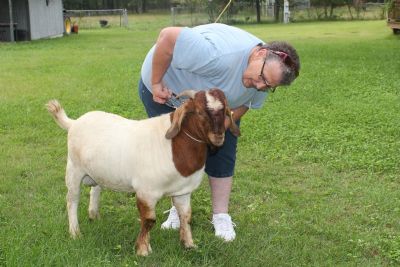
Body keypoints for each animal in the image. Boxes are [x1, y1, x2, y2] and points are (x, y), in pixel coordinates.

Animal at [47, 89, 241, 256]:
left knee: (96, 189)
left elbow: (186, 216)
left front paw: (189, 244)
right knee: (72, 200)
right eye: (199, 112)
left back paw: (94, 215)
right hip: (73, 169)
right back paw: (75, 233)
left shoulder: (183, 191)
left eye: (224, 110)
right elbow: (149, 221)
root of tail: (74, 122)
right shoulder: (146, 192)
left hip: (97, 170)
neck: (174, 145)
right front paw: (142, 249)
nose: (219, 137)